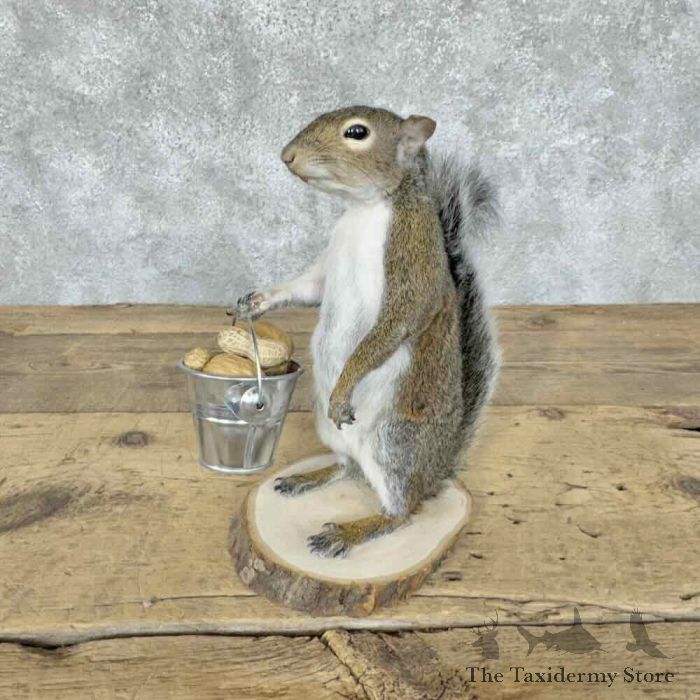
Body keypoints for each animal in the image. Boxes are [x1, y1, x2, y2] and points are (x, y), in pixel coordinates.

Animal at [236, 106, 499, 558]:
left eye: (357, 133)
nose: (287, 156)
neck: (363, 210)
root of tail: (437, 469)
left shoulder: (412, 260)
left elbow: (391, 328)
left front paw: (344, 389)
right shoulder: (326, 266)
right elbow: (308, 288)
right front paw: (258, 300)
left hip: (395, 443)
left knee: (401, 511)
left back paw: (350, 532)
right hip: (335, 434)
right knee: (347, 467)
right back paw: (308, 477)